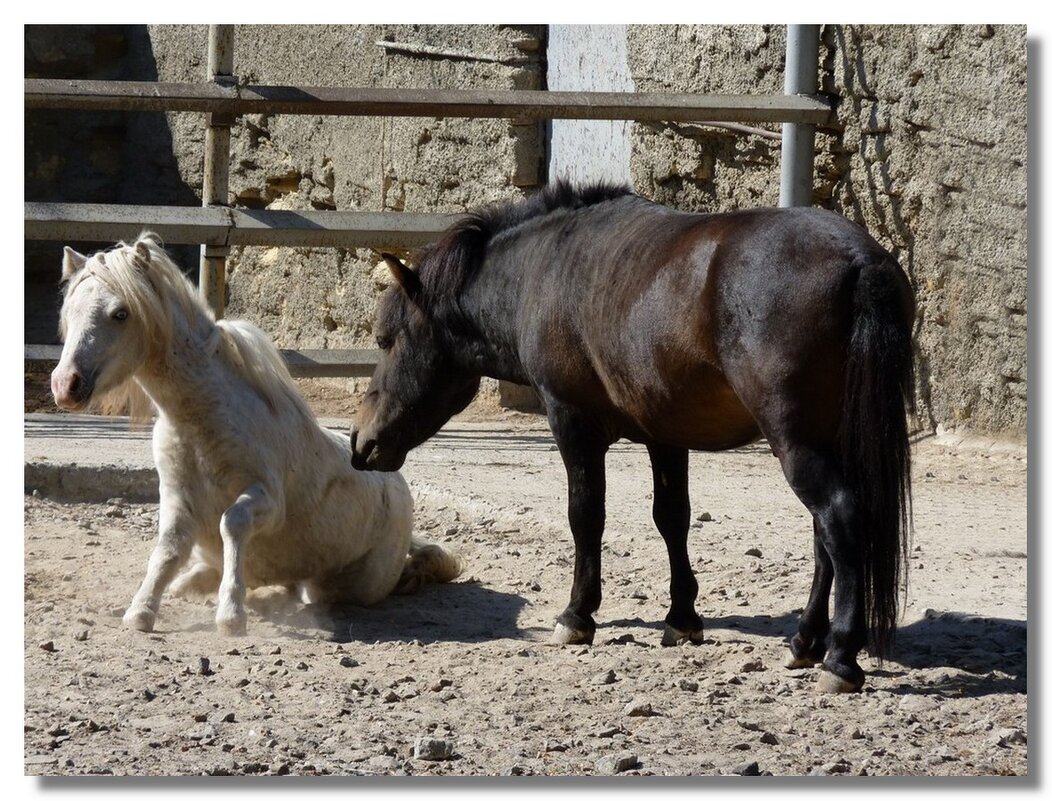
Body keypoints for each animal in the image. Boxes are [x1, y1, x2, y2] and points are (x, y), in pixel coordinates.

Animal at [51, 234, 458, 635]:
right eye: (68, 313)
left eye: (121, 313)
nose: (65, 385)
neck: (201, 420)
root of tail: (397, 485)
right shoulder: (178, 499)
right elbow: (169, 549)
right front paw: (142, 611)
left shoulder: (267, 500)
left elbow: (232, 523)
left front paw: (231, 614)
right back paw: (193, 585)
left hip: (355, 584)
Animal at [353, 179, 913, 686]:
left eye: (385, 339)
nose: (362, 443)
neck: (543, 269)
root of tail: (859, 260)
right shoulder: (666, 435)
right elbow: (672, 519)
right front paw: (682, 619)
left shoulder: (572, 422)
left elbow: (586, 517)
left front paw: (577, 617)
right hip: (825, 442)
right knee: (825, 537)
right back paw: (805, 641)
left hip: (796, 443)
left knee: (839, 520)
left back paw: (840, 656)